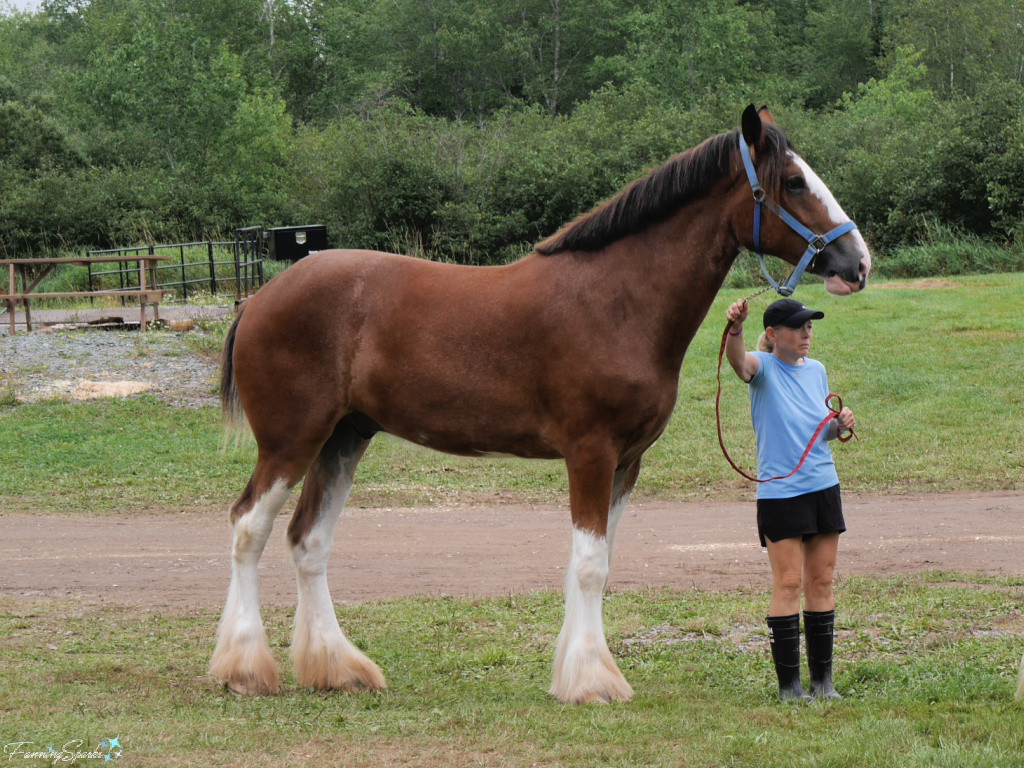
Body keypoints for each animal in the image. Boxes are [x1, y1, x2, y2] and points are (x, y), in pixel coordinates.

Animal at [209, 105, 872, 704]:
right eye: (794, 182)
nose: (857, 263)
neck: (619, 300)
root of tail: (260, 297)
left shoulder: (626, 461)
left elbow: (600, 560)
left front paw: (576, 674)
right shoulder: (591, 453)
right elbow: (588, 563)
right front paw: (592, 682)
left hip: (344, 438)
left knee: (308, 540)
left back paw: (336, 668)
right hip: (292, 441)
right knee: (248, 529)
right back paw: (244, 670)